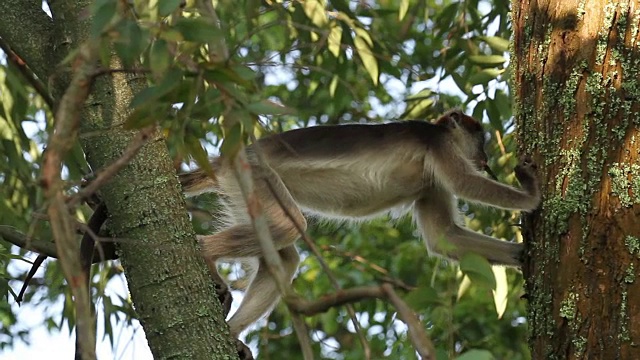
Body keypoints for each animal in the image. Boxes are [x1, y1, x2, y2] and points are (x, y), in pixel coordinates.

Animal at [179, 110, 540, 338]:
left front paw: (520, 254)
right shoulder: (438, 146)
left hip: (244, 189)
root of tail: (226, 160)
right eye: (480, 140)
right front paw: (534, 195)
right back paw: (206, 253)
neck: (438, 132)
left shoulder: (430, 182)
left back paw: (232, 334)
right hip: (255, 175)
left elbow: (444, 238)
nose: (485, 159)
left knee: (284, 256)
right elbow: (466, 184)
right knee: (289, 226)